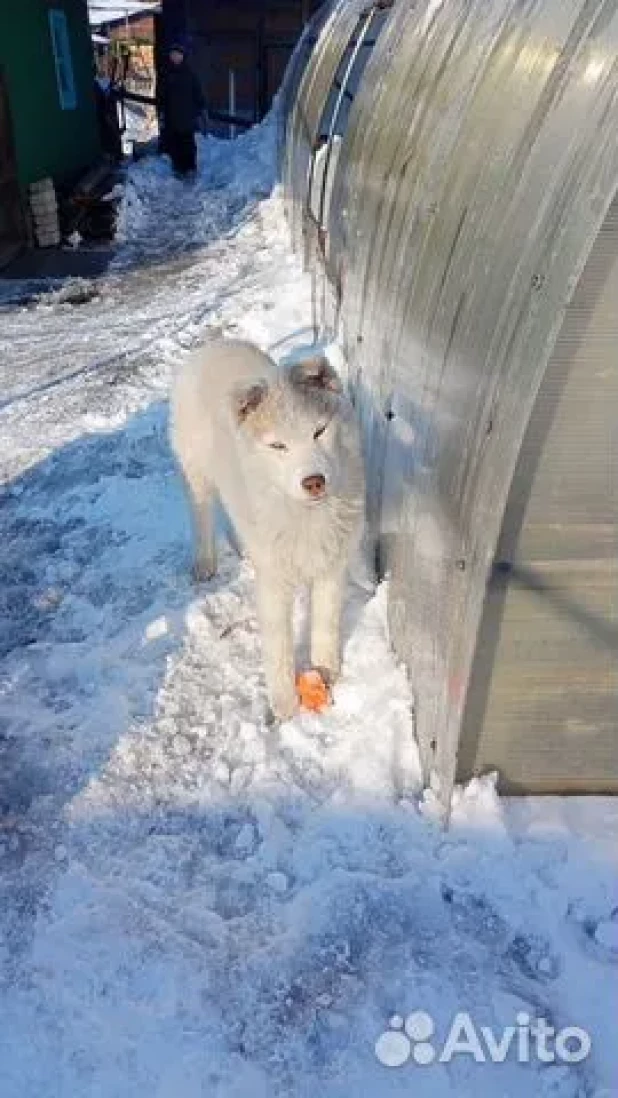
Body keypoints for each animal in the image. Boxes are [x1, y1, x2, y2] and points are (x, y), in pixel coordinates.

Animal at [169, 338, 364, 724]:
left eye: (319, 431)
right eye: (278, 446)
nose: (314, 481)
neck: (305, 516)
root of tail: (214, 344)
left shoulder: (332, 565)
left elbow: (326, 621)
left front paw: (326, 672)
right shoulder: (274, 581)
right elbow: (279, 643)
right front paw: (285, 704)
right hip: (196, 469)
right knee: (201, 511)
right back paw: (205, 562)